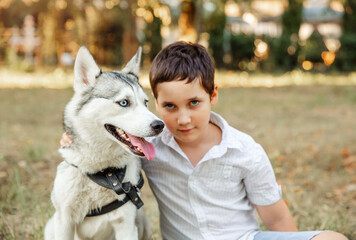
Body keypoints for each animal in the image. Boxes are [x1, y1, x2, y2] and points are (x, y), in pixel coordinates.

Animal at [44, 47, 164, 240]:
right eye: (124, 102)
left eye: (145, 103)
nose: (160, 125)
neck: (104, 171)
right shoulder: (64, 222)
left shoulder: (127, 226)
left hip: (143, 221)